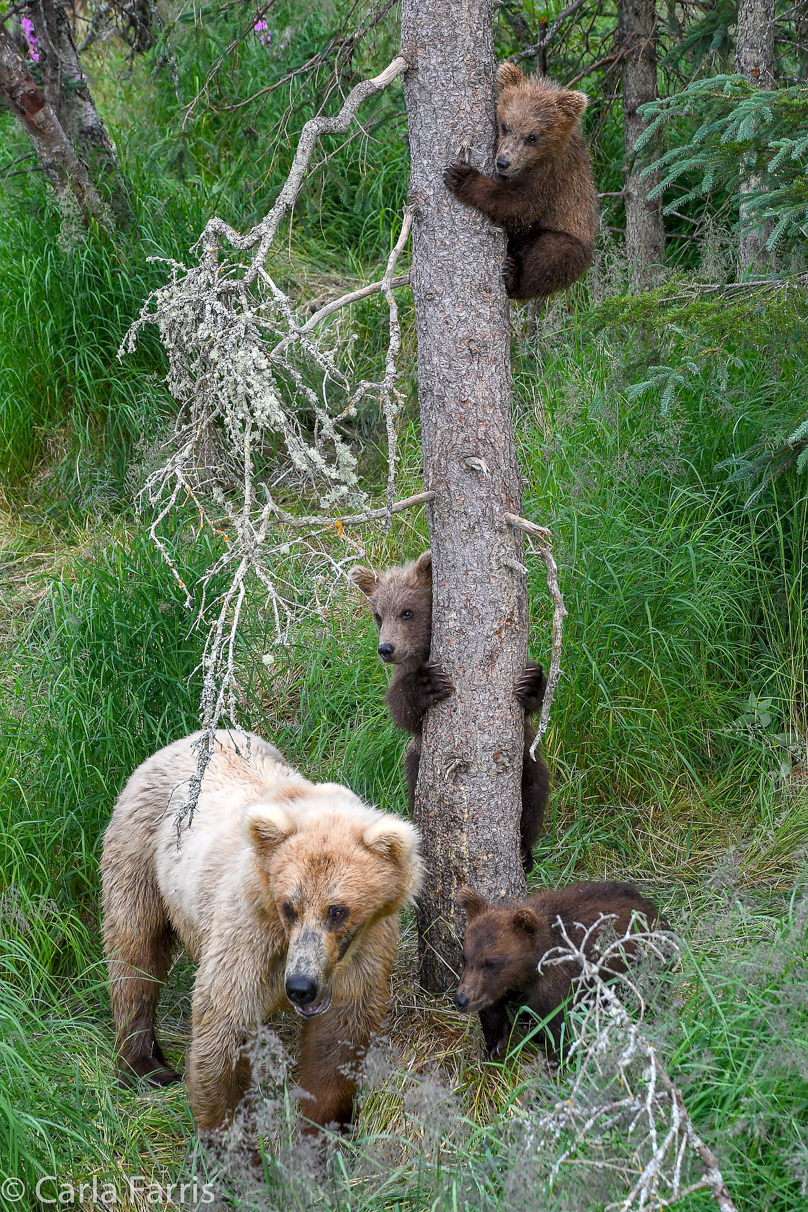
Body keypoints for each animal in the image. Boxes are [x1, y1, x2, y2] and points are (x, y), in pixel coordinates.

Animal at [101, 727, 423, 1134]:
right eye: (289, 906)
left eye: (338, 910)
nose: (300, 986)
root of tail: (186, 738)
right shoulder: (251, 930)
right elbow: (223, 1025)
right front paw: (228, 1135)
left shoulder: (366, 947)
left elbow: (337, 1038)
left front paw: (320, 1127)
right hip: (140, 849)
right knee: (135, 950)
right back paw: (144, 1066)